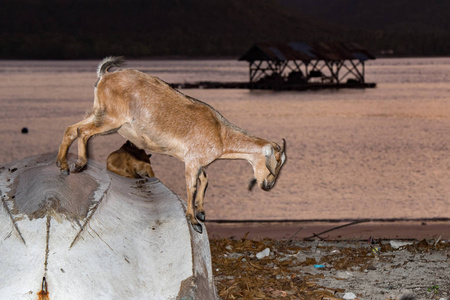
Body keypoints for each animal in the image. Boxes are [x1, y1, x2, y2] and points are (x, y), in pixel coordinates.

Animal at [55, 56, 284, 234]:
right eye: (275, 163)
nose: (268, 185)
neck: (221, 134)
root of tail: (104, 75)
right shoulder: (192, 161)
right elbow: (192, 186)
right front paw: (194, 221)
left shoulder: (195, 161)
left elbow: (205, 180)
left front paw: (201, 212)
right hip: (111, 118)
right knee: (83, 132)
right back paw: (79, 164)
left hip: (100, 114)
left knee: (71, 129)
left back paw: (63, 165)